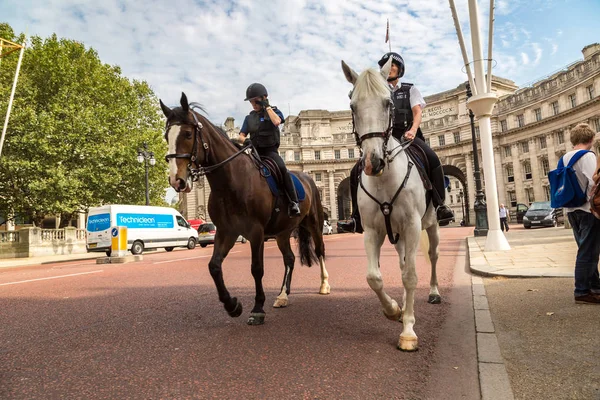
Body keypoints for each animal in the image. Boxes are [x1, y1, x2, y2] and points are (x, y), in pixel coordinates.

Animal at [161, 92, 328, 324]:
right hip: (283, 232)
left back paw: (324, 285)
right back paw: (282, 296)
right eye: (166, 136)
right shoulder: (226, 232)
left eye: (187, 133)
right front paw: (232, 305)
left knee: (320, 250)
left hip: (314, 223)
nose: (177, 180)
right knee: (290, 259)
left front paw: (257, 308)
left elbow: (256, 269)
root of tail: (304, 175)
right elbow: (214, 266)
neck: (231, 182)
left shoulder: (255, 232)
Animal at [340, 57, 442, 352]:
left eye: (388, 103)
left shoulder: (411, 226)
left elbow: (411, 276)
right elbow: (374, 277)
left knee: (431, 256)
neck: (384, 179)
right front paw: (394, 310)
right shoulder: (372, 231)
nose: (373, 162)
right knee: (402, 261)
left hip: (430, 225)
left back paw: (433, 292)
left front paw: (408, 331)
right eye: (353, 105)